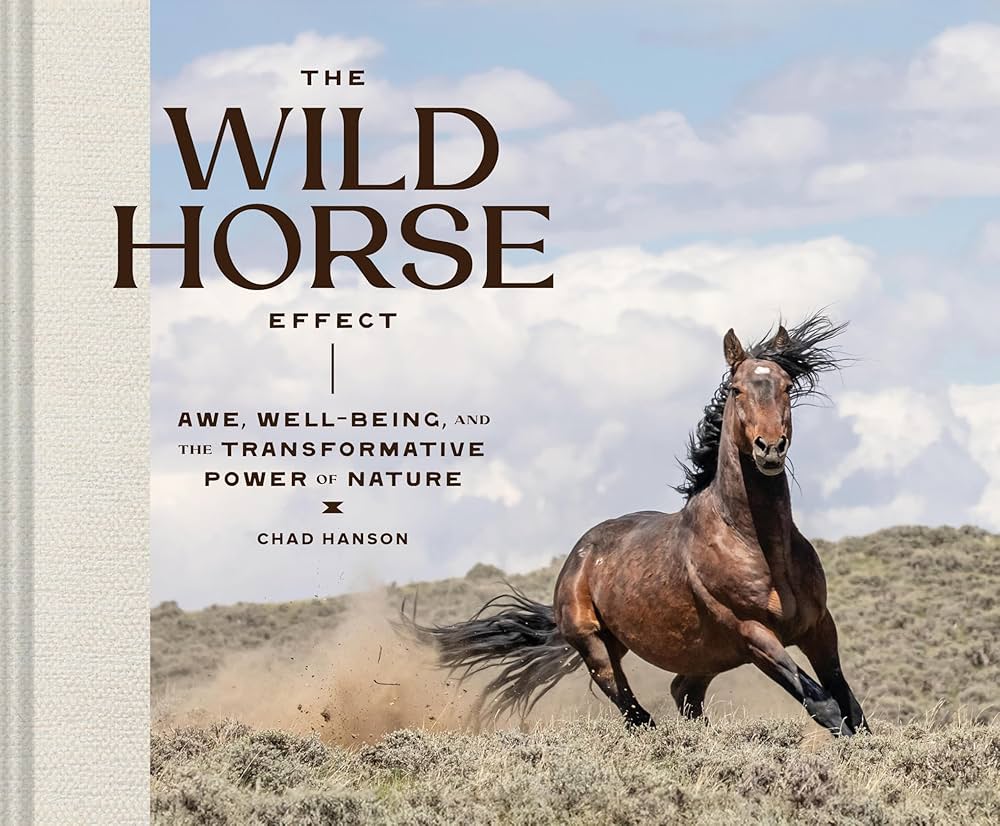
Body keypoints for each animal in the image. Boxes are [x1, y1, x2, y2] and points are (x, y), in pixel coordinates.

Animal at [404, 314, 869, 736]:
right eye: (737, 389)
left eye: (787, 386)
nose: (769, 448)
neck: (757, 544)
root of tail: (578, 557)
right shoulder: (754, 635)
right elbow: (825, 705)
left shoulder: (819, 627)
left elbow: (852, 708)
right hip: (597, 646)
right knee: (633, 710)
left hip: (707, 655)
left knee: (682, 693)